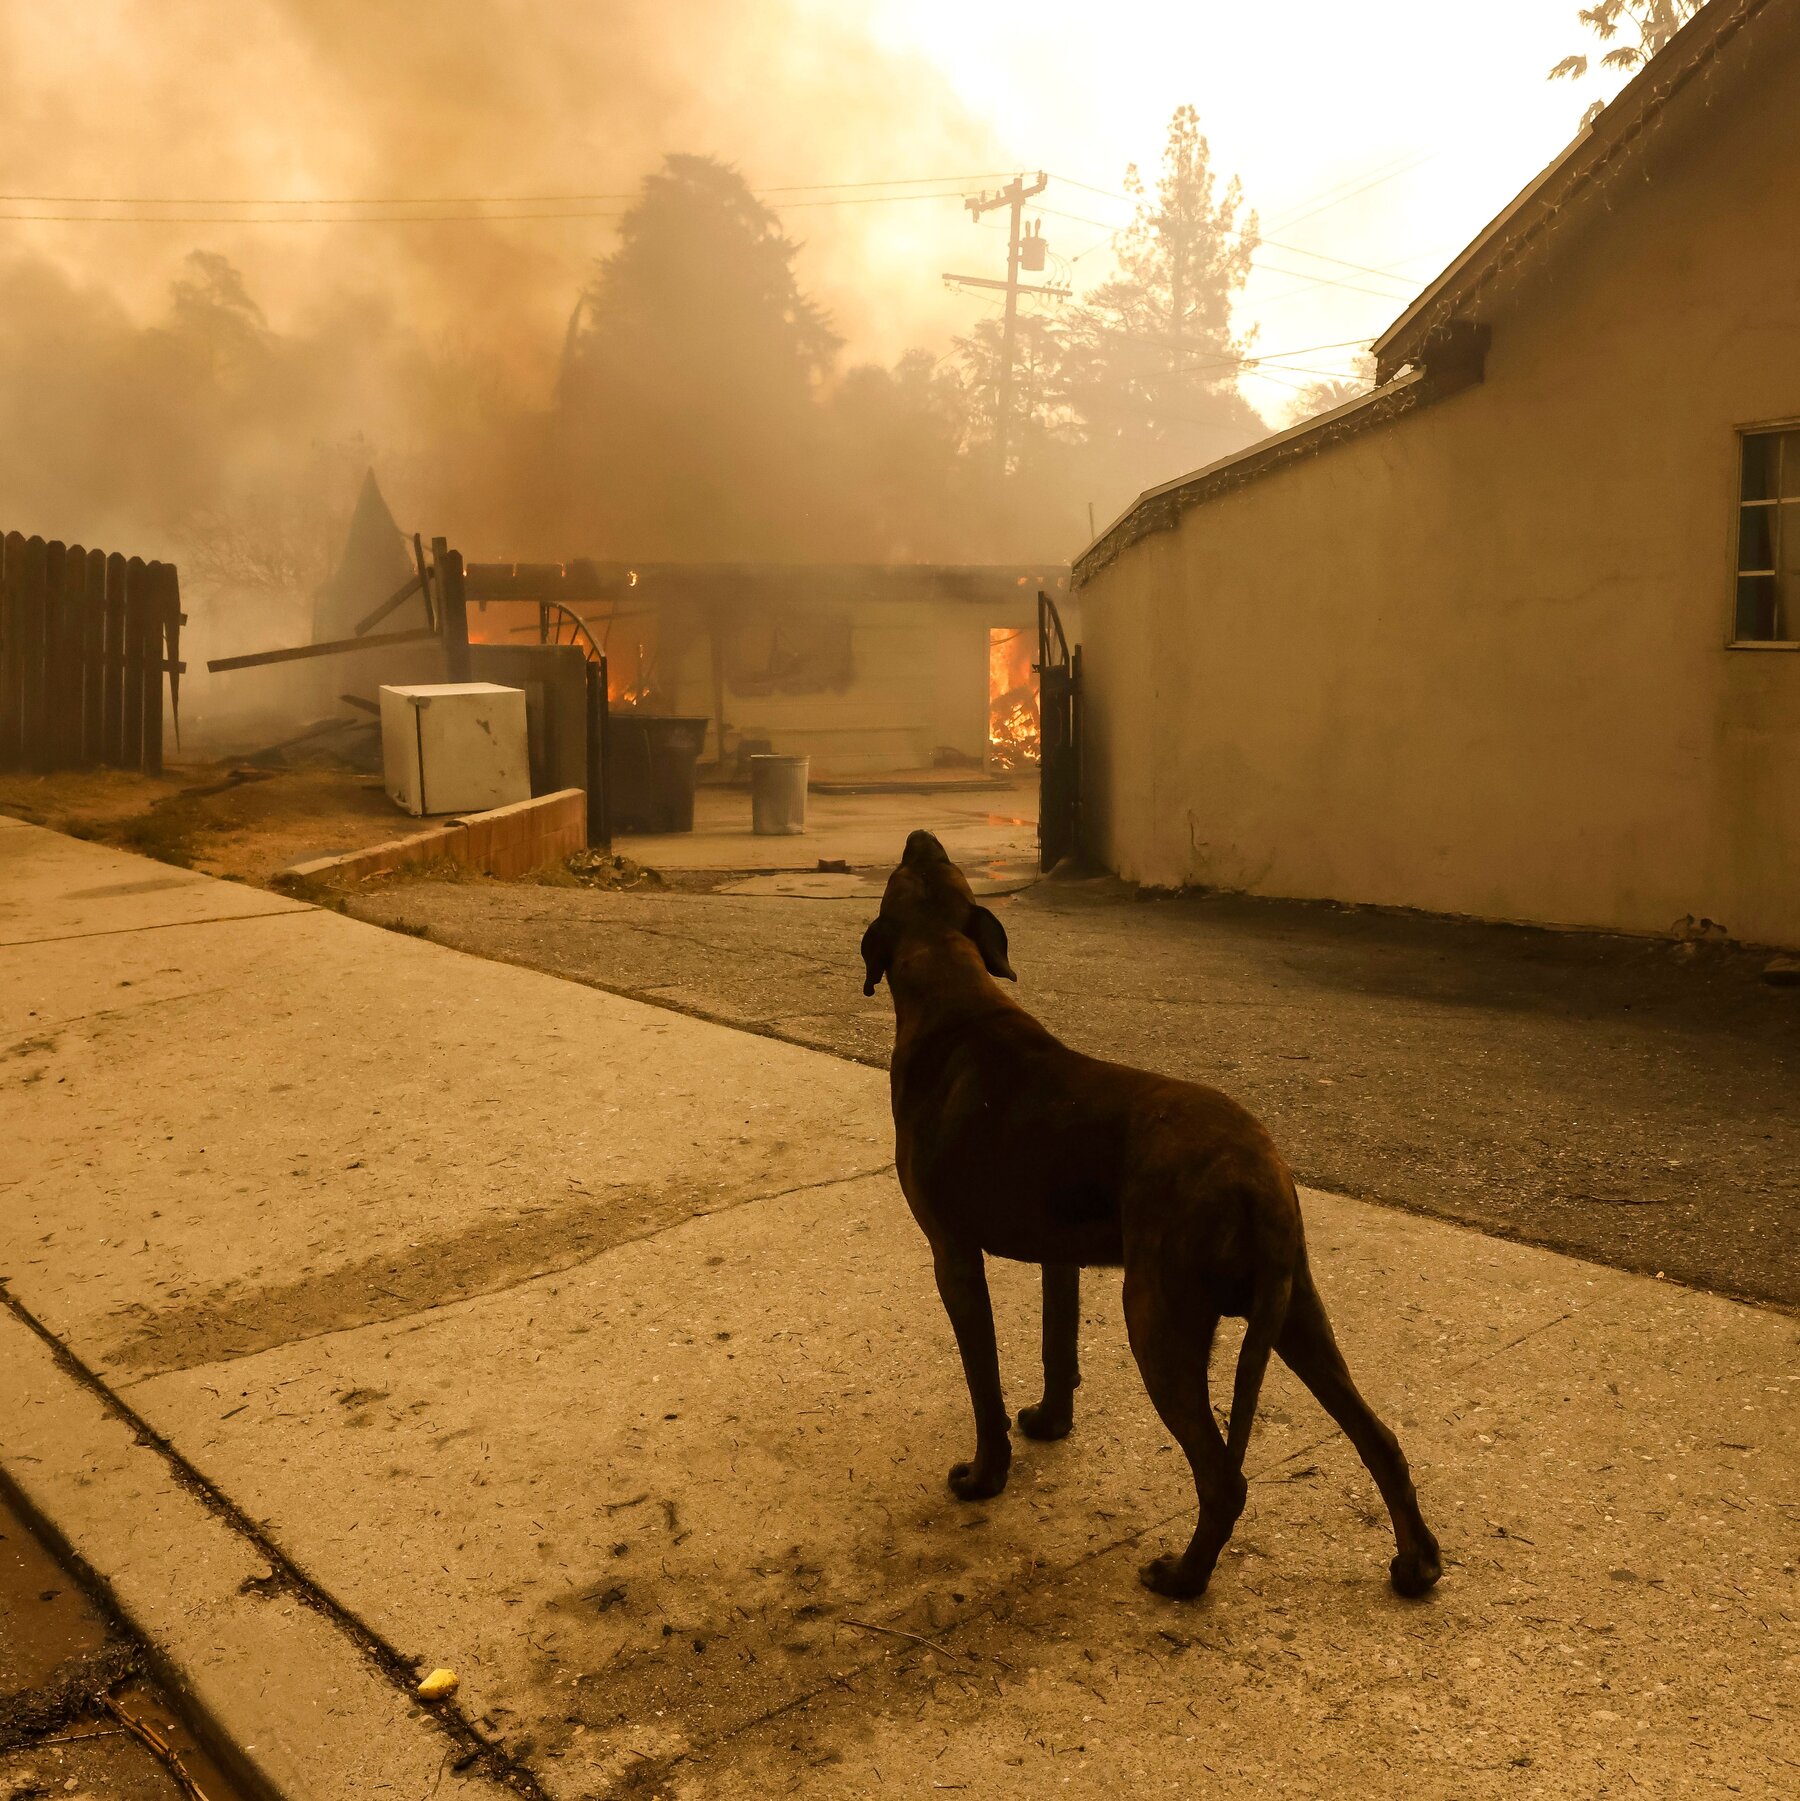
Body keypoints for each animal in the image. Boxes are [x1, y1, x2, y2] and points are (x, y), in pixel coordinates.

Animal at [861, 828, 1448, 1606]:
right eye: (932, 865)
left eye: (904, 870)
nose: (920, 835)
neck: (953, 988)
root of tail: (1256, 1173)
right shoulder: (1060, 1255)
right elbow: (1057, 1348)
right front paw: (1050, 1423)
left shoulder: (954, 1256)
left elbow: (983, 1383)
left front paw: (985, 1478)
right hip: (1295, 1314)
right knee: (1379, 1438)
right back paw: (1417, 1563)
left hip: (1157, 1317)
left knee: (1224, 1478)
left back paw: (1183, 1577)